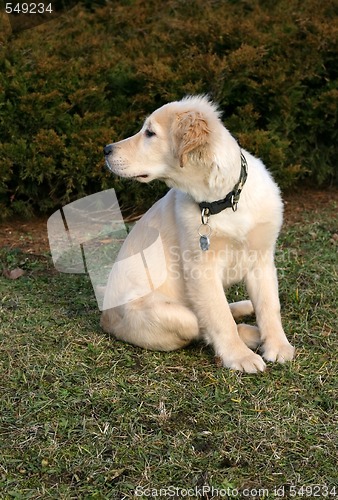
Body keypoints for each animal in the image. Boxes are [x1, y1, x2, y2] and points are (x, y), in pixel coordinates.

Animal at [101, 95, 294, 374]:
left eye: (150, 133)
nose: (106, 149)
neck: (224, 200)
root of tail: (104, 317)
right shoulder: (200, 268)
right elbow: (219, 317)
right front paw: (239, 356)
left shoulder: (262, 258)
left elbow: (269, 305)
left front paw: (278, 346)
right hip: (168, 315)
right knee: (200, 324)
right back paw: (250, 333)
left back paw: (246, 309)